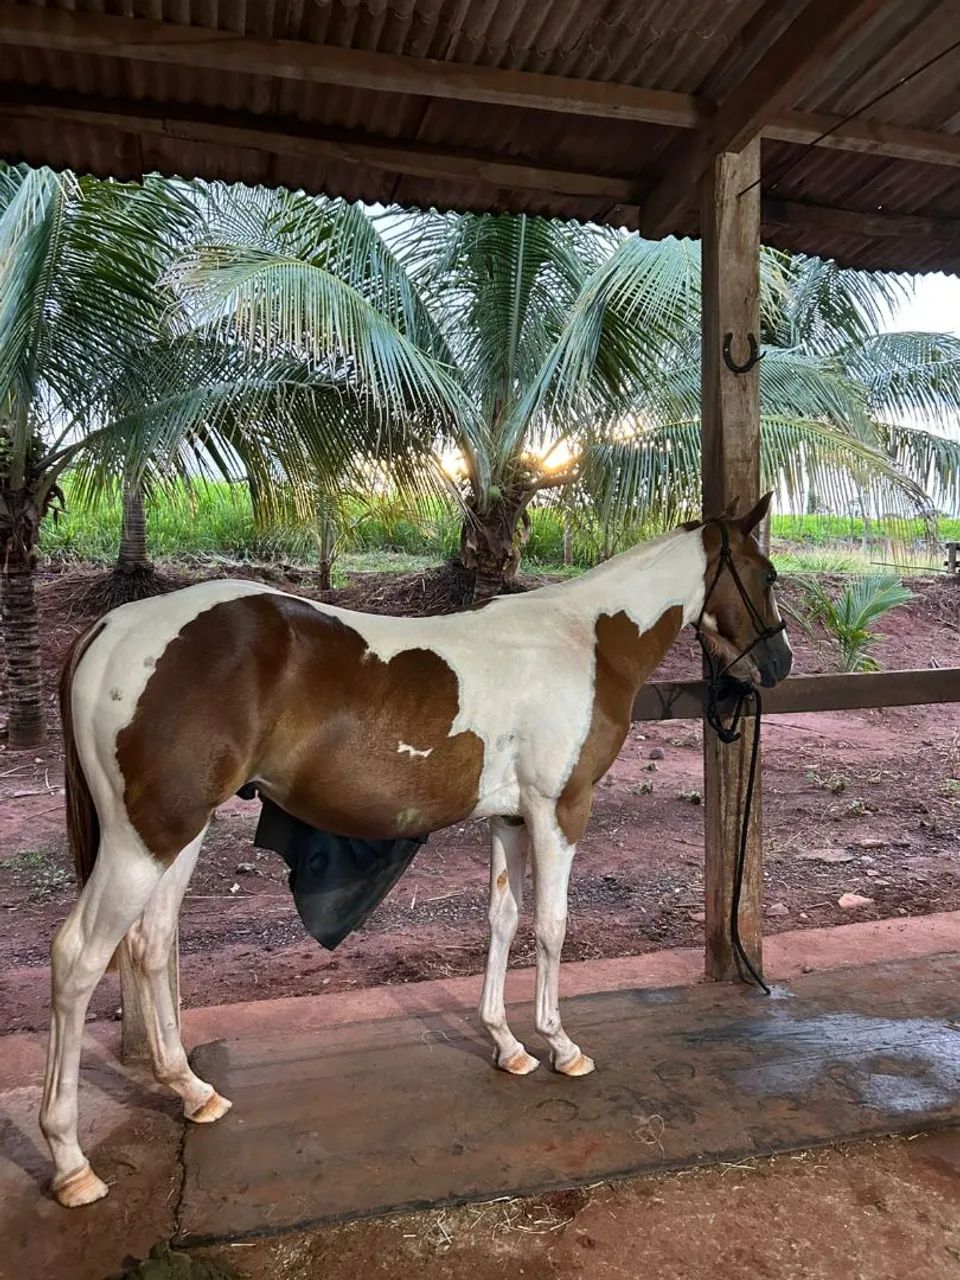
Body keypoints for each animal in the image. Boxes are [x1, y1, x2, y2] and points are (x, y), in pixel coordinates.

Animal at [41, 494, 791, 1207]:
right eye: (768, 574)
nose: (779, 662)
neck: (585, 637)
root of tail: (110, 629)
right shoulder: (560, 809)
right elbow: (552, 927)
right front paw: (561, 1046)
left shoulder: (510, 818)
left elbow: (503, 921)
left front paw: (508, 1046)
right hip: (144, 839)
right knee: (79, 958)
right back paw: (71, 1162)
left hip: (178, 835)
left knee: (150, 946)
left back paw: (194, 1092)